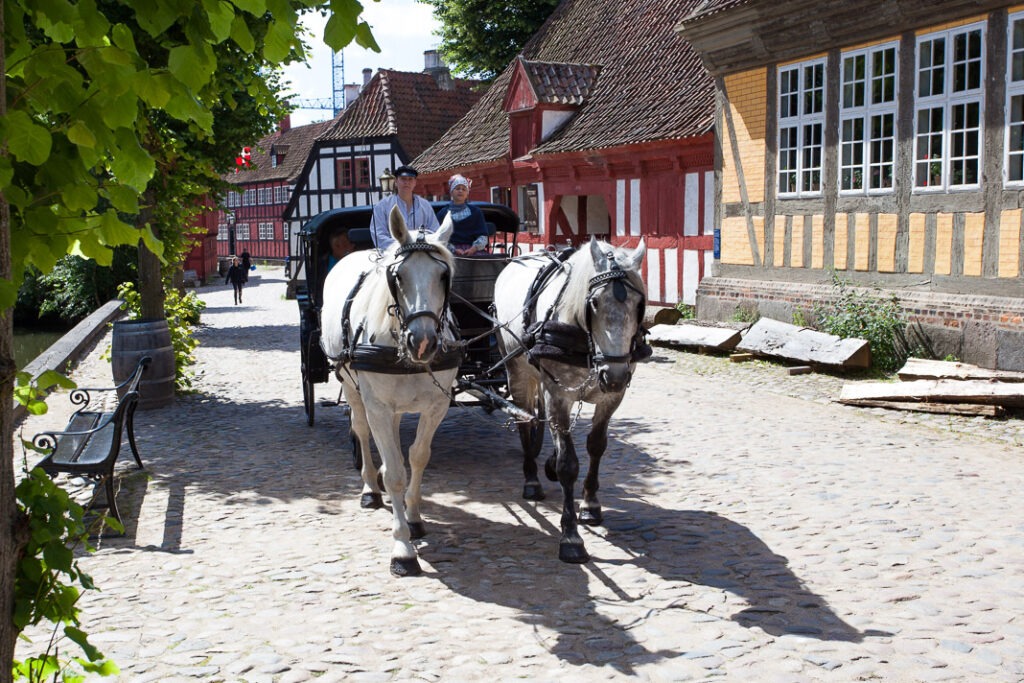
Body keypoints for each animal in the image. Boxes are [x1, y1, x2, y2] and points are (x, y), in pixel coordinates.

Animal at [321, 206, 458, 577]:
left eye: (444, 276)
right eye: (398, 277)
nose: (423, 342)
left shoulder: (436, 406)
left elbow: (418, 457)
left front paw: (414, 517)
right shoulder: (377, 405)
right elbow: (396, 472)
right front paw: (403, 549)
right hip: (353, 388)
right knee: (362, 429)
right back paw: (371, 486)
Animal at [489, 237, 647, 565]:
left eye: (639, 305)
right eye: (594, 302)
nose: (614, 374)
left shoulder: (612, 397)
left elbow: (596, 446)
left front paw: (590, 504)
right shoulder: (558, 395)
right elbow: (568, 463)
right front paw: (571, 536)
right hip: (517, 371)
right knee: (525, 420)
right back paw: (532, 480)